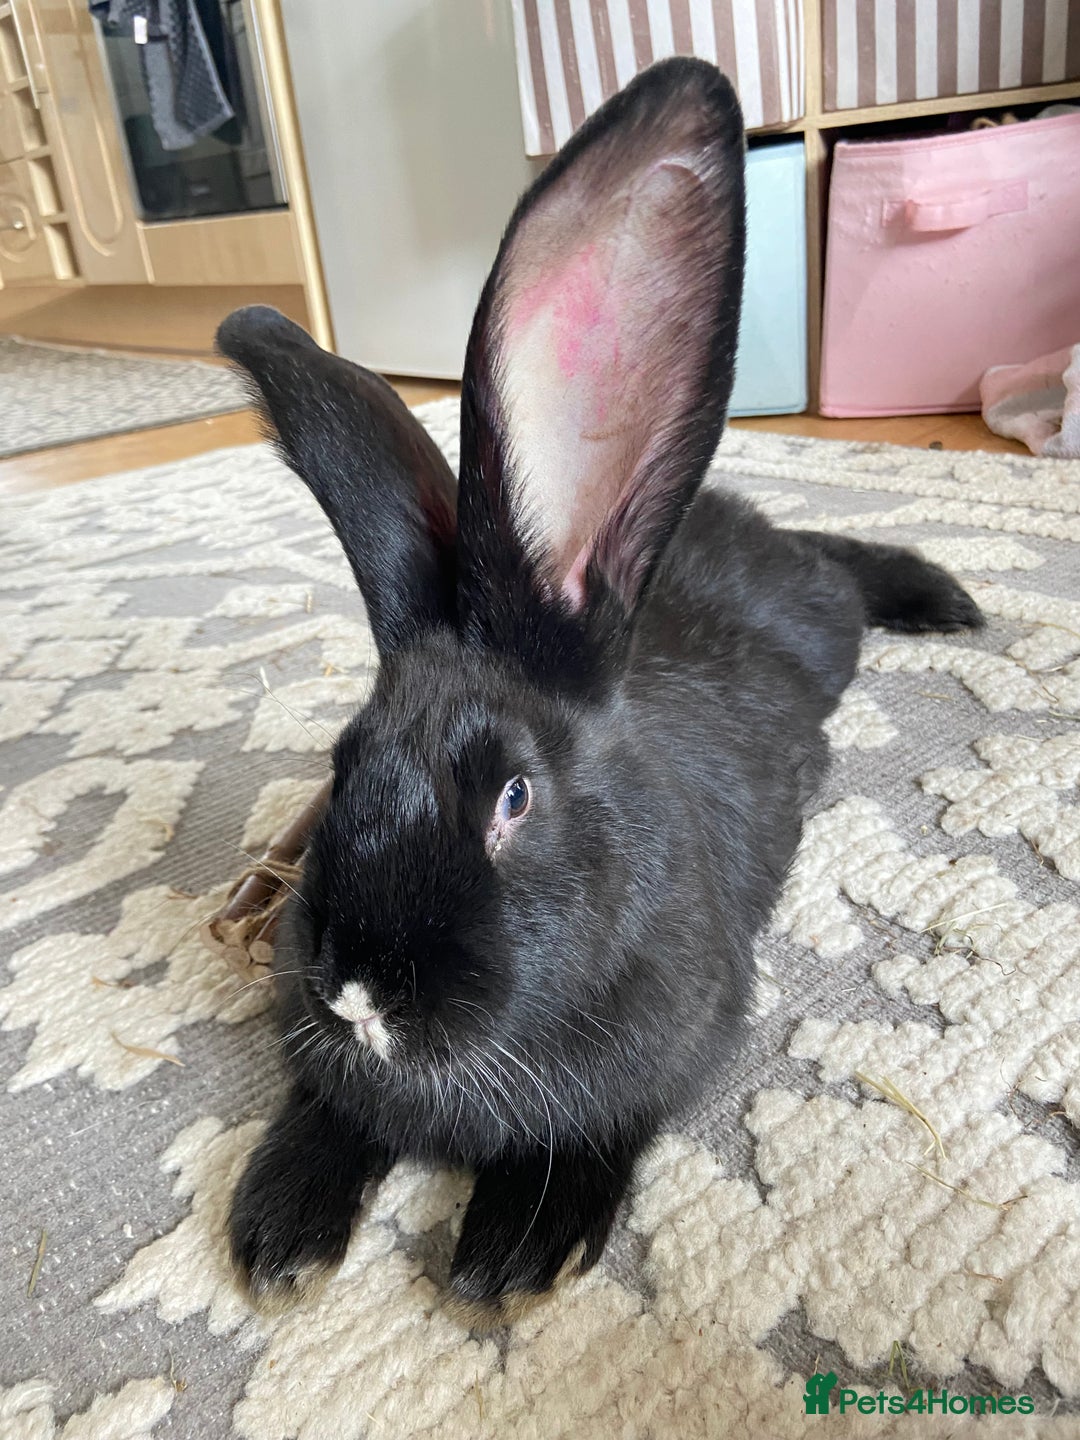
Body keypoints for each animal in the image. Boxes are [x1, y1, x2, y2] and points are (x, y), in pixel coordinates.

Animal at [217, 57, 981, 1326]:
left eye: (513, 798)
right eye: (341, 764)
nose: (361, 993)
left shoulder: (685, 1034)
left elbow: (604, 1127)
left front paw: (514, 1254)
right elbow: (330, 1110)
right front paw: (276, 1235)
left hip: (822, 622)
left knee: (840, 564)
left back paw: (941, 595)